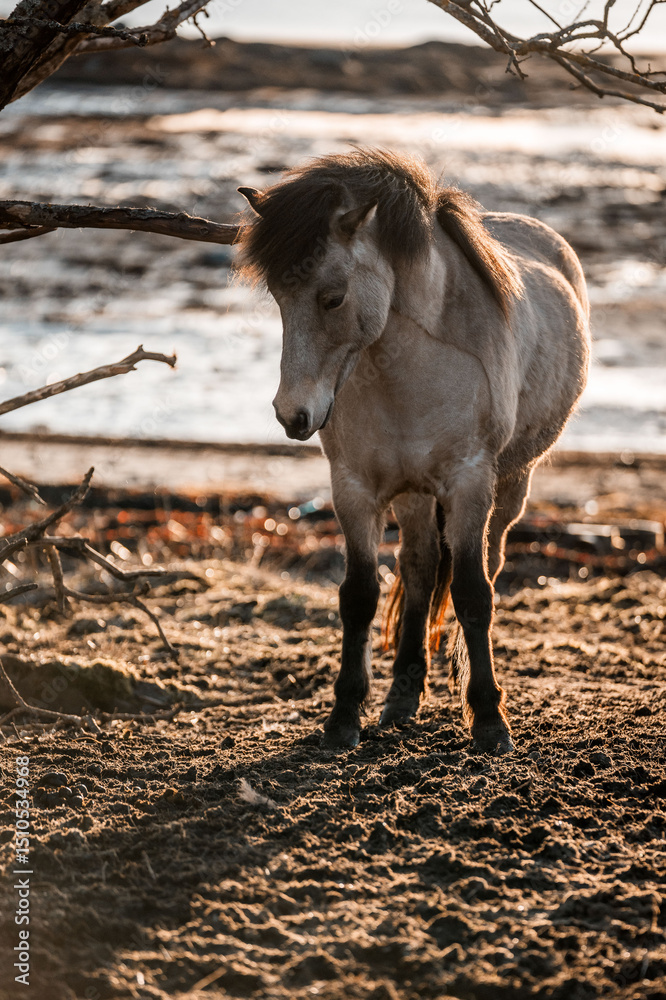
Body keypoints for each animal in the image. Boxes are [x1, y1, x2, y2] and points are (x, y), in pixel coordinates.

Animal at [237, 148, 590, 753]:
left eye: (332, 297)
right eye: (279, 299)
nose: (292, 414)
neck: (409, 370)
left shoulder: (470, 484)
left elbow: (473, 594)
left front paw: (489, 719)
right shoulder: (355, 490)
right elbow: (359, 596)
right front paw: (344, 717)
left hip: (509, 485)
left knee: (487, 566)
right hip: (413, 494)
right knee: (422, 567)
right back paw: (403, 694)